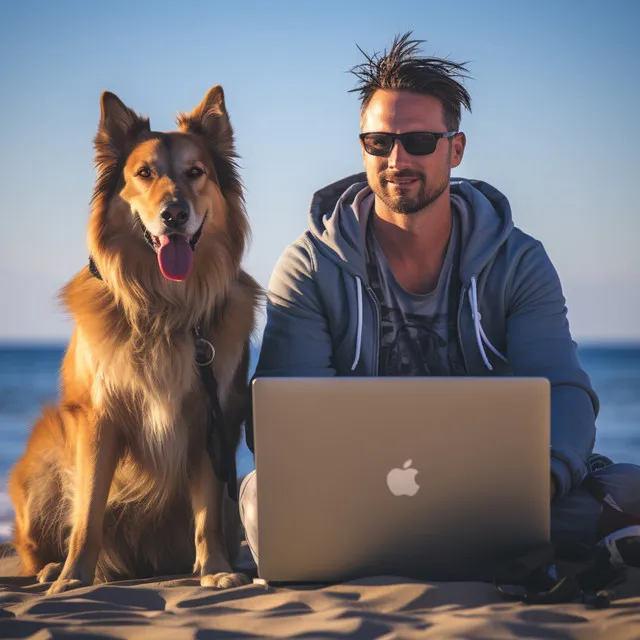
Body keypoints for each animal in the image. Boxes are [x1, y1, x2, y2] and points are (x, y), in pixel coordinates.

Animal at [6, 86, 258, 596]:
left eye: (196, 172)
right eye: (144, 174)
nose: (174, 214)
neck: (165, 307)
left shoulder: (211, 418)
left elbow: (207, 517)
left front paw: (216, 568)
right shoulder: (97, 418)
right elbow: (88, 514)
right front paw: (73, 577)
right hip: (38, 469)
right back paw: (52, 568)